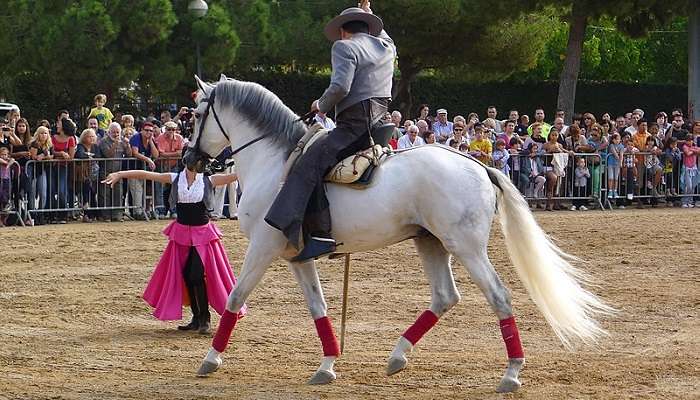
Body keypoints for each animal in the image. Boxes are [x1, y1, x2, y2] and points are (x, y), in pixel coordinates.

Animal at [186, 76, 612, 394]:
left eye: (197, 115)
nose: (190, 160)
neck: (276, 162)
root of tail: (478, 165)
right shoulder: (297, 256)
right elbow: (318, 308)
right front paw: (328, 365)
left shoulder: (263, 246)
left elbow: (235, 297)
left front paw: (210, 359)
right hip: (430, 242)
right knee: (445, 296)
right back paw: (397, 356)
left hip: (466, 248)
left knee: (498, 296)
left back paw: (511, 372)